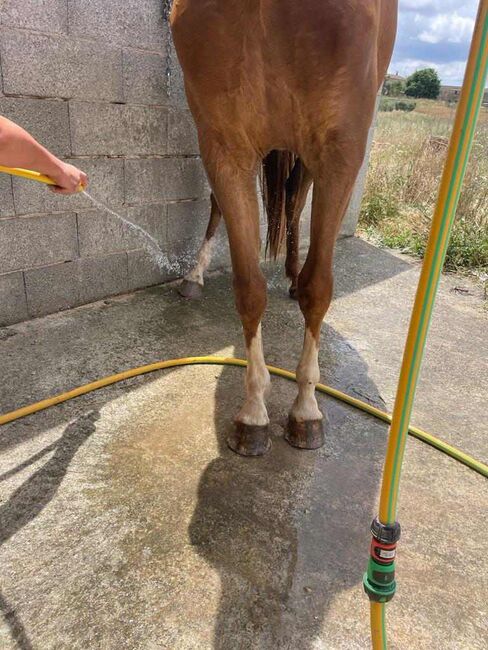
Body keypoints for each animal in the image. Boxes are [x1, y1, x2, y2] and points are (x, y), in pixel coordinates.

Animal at [170, 0, 398, 456]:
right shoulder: (224, 145)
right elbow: (249, 289)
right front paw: (254, 414)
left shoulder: (340, 150)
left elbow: (319, 287)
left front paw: (307, 409)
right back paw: (195, 276)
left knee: (294, 205)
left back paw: (291, 275)